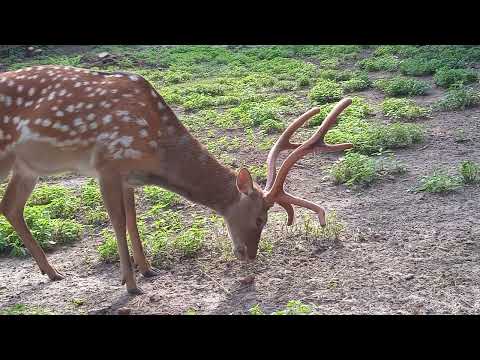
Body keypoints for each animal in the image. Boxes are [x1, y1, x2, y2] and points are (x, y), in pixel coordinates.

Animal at [0, 65, 352, 292]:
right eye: (260, 218)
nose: (249, 255)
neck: (156, 148)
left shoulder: (128, 176)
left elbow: (133, 220)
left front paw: (147, 270)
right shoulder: (108, 163)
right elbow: (117, 221)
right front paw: (131, 285)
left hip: (27, 167)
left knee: (11, 206)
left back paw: (53, 272)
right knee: (10, 205)